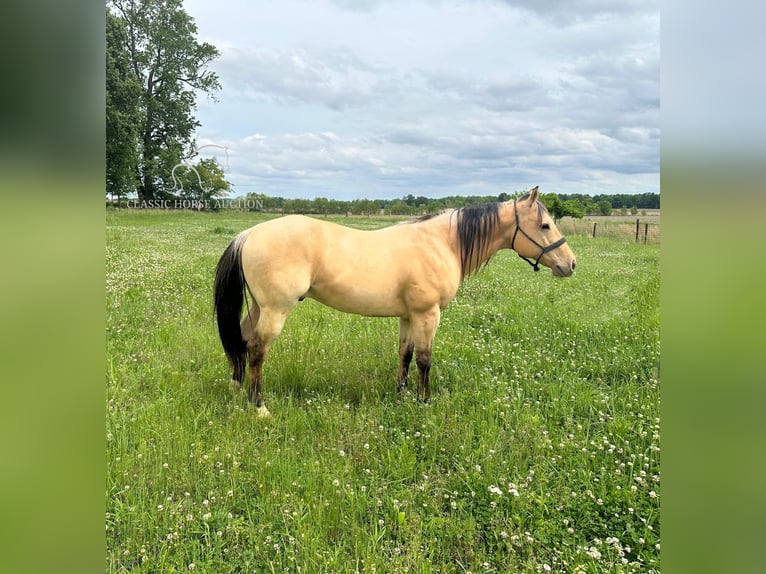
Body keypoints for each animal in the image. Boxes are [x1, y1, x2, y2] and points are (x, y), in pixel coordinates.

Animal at [214, 187, 576, 416]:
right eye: (545, 225)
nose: (570, 264)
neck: (442, 243)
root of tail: (249, 234)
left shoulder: (408, 316)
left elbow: (405, 354)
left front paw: (401, 394)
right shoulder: (428, 315)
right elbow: (425, 360)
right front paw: (423, 401)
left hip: (259, 308)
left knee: (242, 341)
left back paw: (236, 388)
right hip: (275, 310)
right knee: (258, 349)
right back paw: (259, 407)